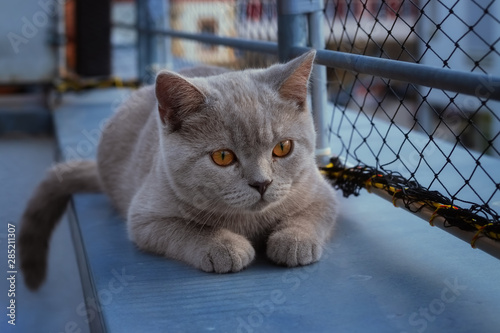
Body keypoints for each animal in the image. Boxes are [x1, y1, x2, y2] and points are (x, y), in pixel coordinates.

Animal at [20, 50, 340, 290]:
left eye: (283, 148)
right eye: (223, 157)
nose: (262, 183)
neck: (250, 221)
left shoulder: (320, 190)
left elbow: (313, 213)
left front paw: (294, 240)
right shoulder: (144, 217)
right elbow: (188, 229)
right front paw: (224, 246)